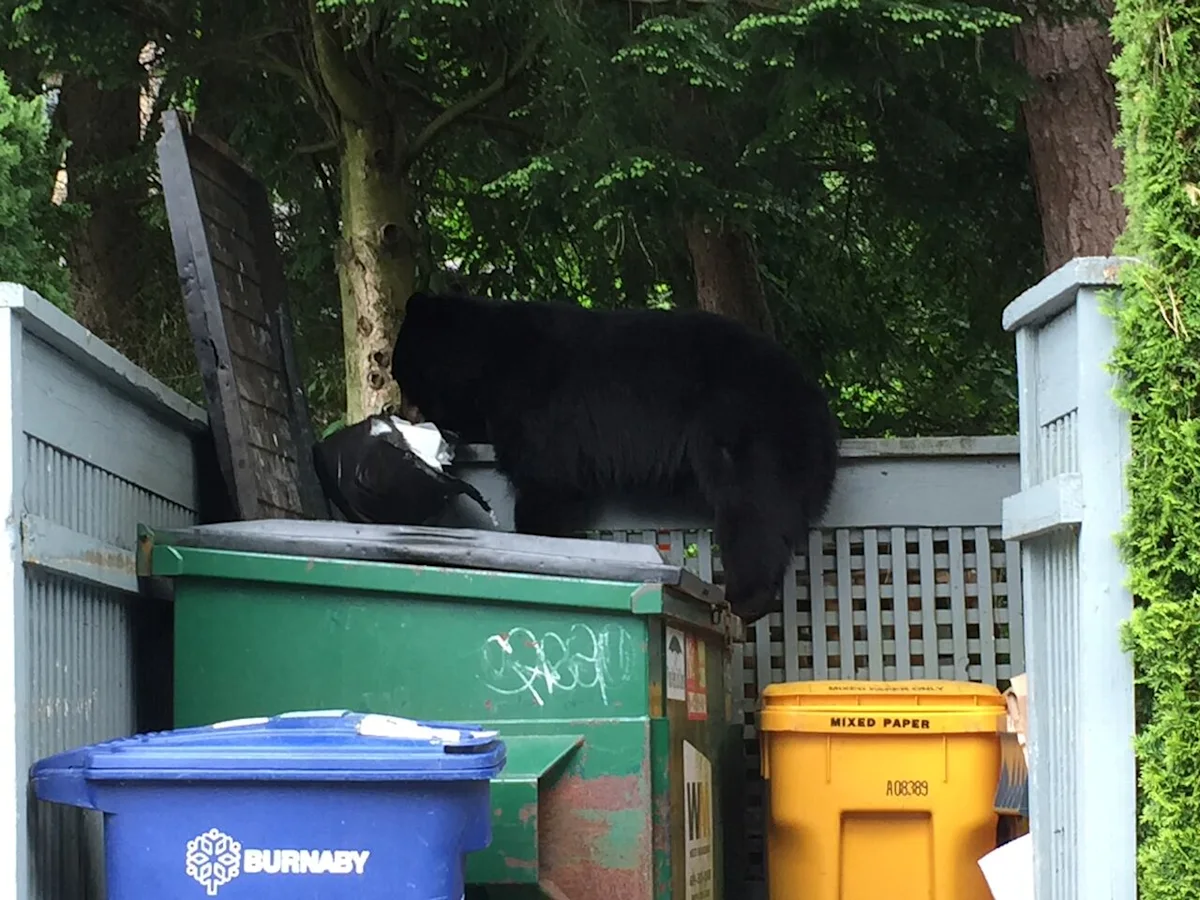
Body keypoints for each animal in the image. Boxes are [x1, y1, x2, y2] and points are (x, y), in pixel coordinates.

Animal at [390, 290, 840, 623]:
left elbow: (547, 483)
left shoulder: (539, 406)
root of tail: (811, 394)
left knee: (753, 510)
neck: (487, 360)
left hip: (743, 427)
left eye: (398, 364)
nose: (398, 404)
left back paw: (746, 596)